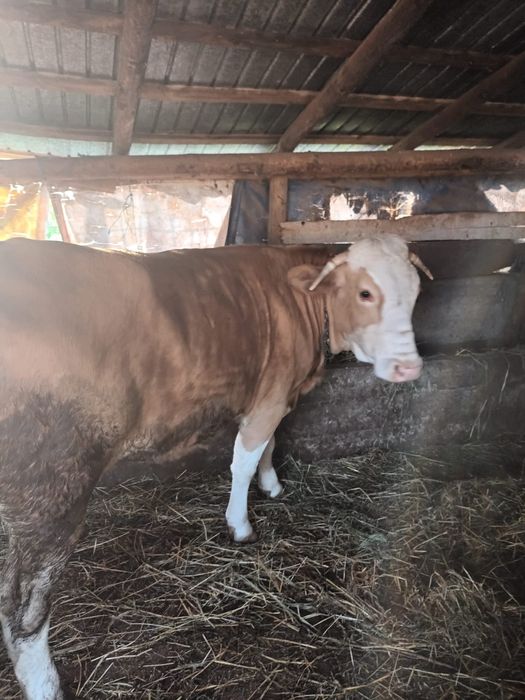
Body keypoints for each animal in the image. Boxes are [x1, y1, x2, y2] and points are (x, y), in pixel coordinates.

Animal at [0, 234, 430, 699]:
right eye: (365, 292)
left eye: (415, 293)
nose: (410, 367)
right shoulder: (270, 396)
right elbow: (244, 460)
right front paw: (240, 524)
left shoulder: (272, 396)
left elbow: (269, 444)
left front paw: (271, 485)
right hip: (50, 490)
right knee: (21, 611)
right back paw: (45, 685)